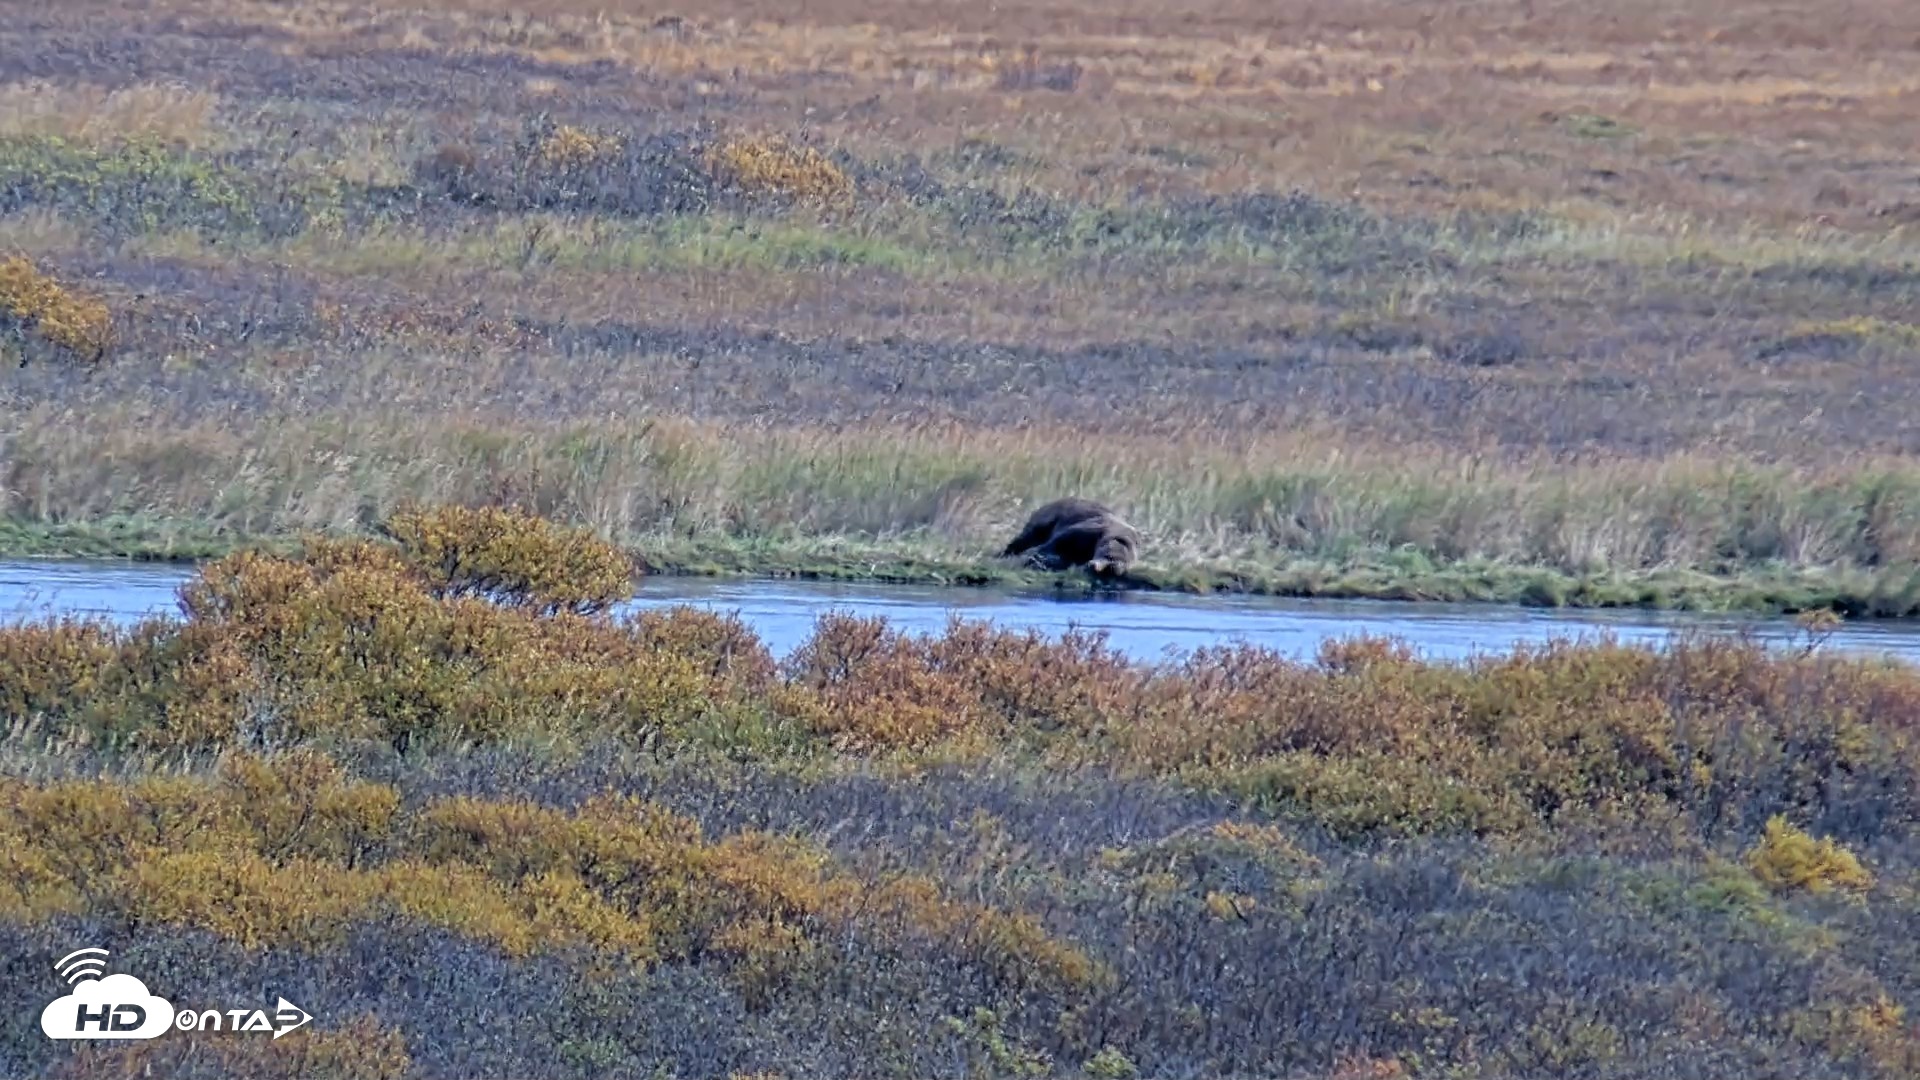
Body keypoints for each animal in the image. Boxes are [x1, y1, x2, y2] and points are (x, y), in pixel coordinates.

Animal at [1000, 497, 1141, 578]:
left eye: (1109, 568)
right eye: (1108, 556)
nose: (1093, 566)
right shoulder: (1089, 531)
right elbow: (1057, 541)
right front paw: (1035, 555)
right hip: (1050, 516)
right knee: (1027, 537)